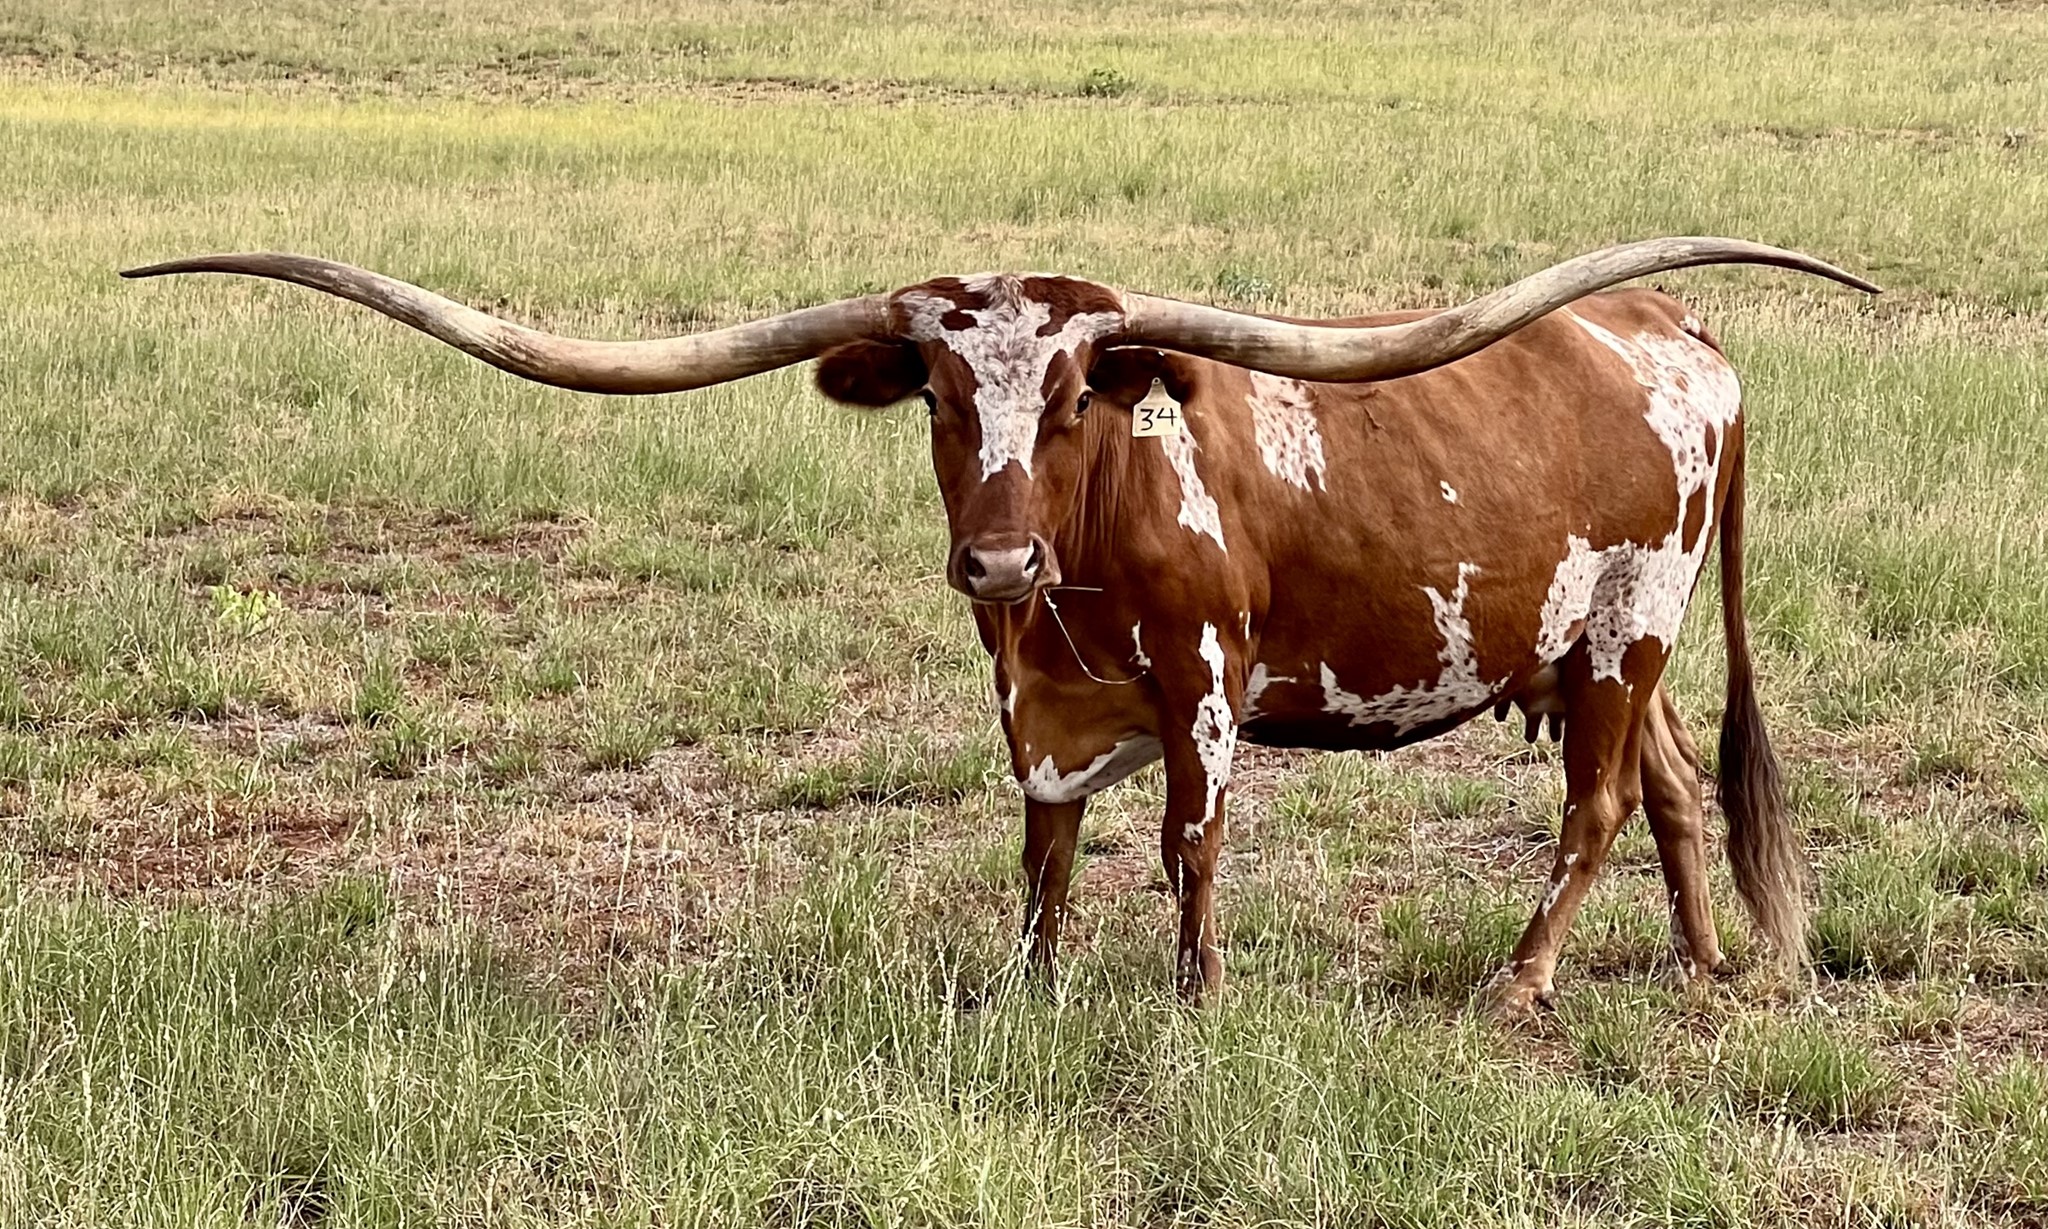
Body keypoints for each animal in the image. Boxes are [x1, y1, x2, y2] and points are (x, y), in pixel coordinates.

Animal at [123, 238, 1876, 1016]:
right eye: (944, 397)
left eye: (1081, 393)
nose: (997, 557)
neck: (1078, 573)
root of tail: (1680, 325)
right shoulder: (1031, 703)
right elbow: (1041, 844)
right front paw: (1032, 982)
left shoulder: (1204, 688)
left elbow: (1188, 841)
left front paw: (1195, 994)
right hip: (1590, 647)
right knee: (1670, 789)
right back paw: (1706, 962)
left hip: (1631, 634)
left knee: (1596, 804)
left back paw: (1521, 981)